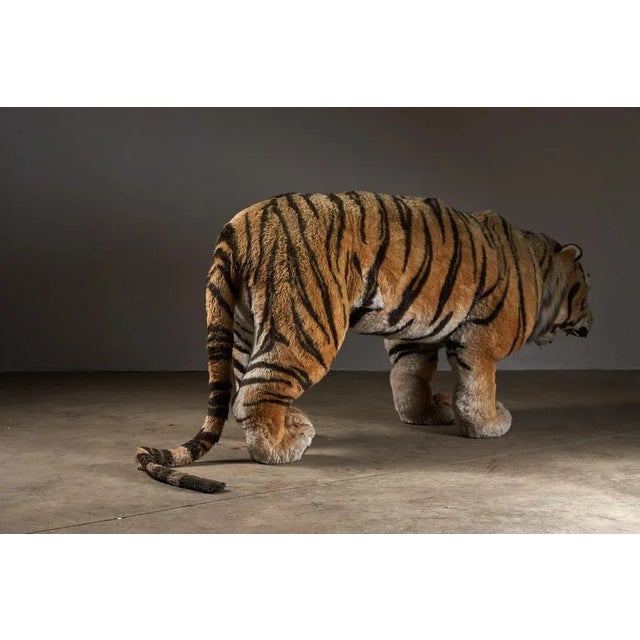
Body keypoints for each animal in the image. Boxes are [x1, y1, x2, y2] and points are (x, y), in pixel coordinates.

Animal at [136, 191, 593, 493]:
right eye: (587, 286)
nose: (592, 320)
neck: (538, 263)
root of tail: (239, 226)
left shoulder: (414, 335)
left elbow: (410, 377)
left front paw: (427, 415)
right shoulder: (481, 336)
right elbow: (479, 385)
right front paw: (491, 424)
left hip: (244, 325)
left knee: (241, 386)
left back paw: (291, 424)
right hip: (308, 323)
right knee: (257, 389)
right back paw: (282, 445)